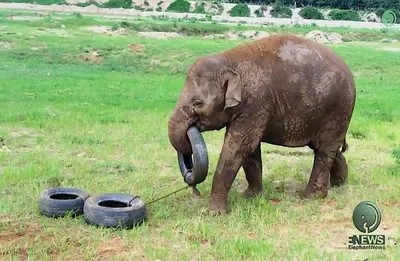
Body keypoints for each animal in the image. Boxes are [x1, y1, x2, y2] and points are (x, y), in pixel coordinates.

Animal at [167, 34, 354, 213]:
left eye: (198, 103)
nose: (193, 187)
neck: (229, 60)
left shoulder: (255, 103)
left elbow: (239, 146)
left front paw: (214, 213)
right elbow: (250, 150)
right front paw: (251, 196)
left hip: (338, 109)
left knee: (324, 150)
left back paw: (311, 196)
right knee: (324, 148)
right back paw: (338, 182)